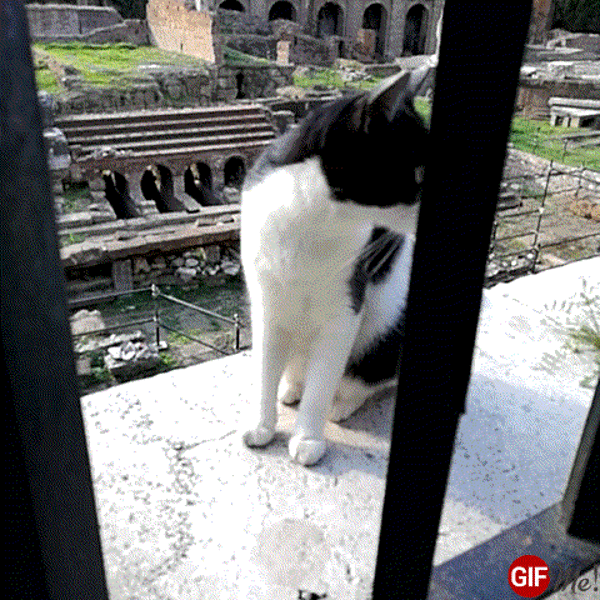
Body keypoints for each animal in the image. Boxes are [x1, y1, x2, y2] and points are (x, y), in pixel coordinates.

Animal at [240, 68, 429, 466]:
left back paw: (339, 405)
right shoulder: (266, 303)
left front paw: (308, 437)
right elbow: (264, 369)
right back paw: (290, 387)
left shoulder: (344, 311)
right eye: (419, 174)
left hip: (383, 336)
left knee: (362, 381)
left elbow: (323, 382)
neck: (314, 221)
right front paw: (262, 425)